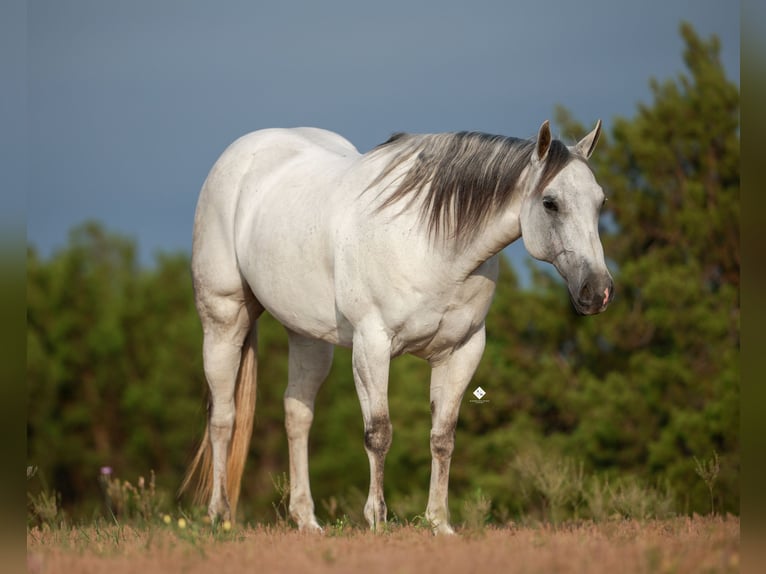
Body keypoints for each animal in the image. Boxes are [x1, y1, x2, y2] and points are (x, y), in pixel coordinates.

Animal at [183, 119, 616, 536]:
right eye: (550, 202)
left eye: (600, 202)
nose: (598, 292)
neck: (433, 243)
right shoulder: (372, 346)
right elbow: (379, 433)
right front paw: (377, 519)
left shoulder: (462, 351)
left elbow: (442, 438)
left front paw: (440, 523)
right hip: (223, 319)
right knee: (223, 417)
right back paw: (219, 516)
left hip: (307, 336)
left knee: (297, 413)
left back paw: (306, 520)